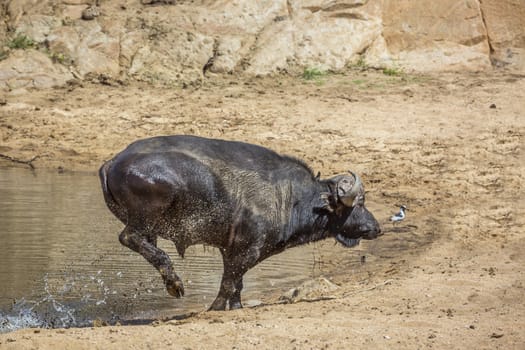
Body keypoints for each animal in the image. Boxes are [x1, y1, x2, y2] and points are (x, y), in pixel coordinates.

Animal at [99, 135, 380, 310]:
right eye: (360, 203)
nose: (376, 228)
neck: (288, 196)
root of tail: (113, 163)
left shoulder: (231, 250)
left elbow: (236, 283)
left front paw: (236, 307)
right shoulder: (247, 249)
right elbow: (229, 282)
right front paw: (214, 308)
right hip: (144, 220)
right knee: (129, 238)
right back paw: (174, 283)